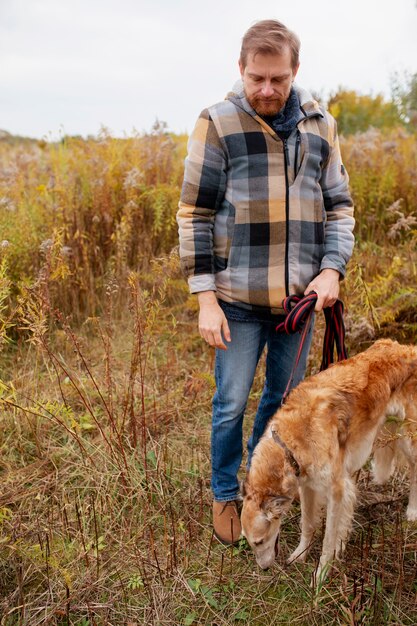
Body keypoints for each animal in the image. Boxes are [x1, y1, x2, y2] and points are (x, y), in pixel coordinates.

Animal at [239, 338, 416, 576]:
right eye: (249, 542)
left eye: (258, 541)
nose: (265, 568)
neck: (293, 440)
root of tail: (406, 348)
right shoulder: (307, 485)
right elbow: (308, 524)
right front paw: (300, 555)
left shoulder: (337, 490)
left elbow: (328, 540)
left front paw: (321, 574)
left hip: (409, 437)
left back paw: (412, 511)